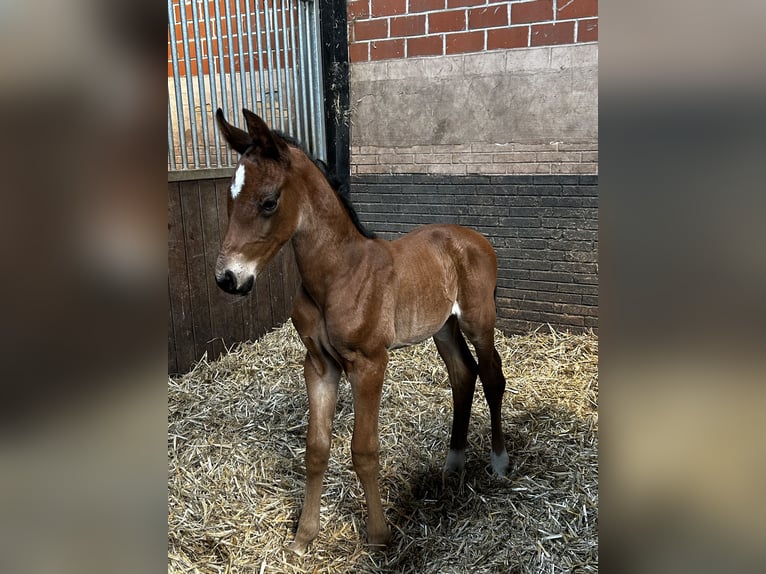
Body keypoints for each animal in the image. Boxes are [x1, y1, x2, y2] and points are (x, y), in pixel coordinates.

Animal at [213, 110, 510, 556]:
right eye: (230, 199)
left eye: (269, 201)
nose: (228, 278)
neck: (336, 274)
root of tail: (473, 238)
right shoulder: (319, 365)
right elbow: (316, 448)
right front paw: (304, 536)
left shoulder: (369, 363)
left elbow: (363, 449)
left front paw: (378, 535)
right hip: (443, 327)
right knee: (462, 374)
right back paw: (453, 463)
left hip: (479, 321)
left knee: (492, 376)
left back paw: (498, 462)